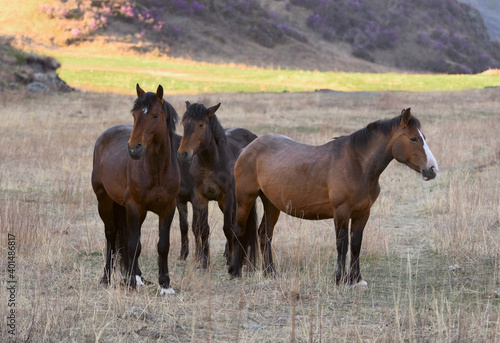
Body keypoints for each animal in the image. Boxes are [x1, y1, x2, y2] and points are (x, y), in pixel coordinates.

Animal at [91, 84, 180, 296]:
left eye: (155, 115)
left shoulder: (168, 209)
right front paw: (130, 281)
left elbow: (162, 245)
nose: (134, 149)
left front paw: (165, 285)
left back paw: (139, 277)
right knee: (111, 236)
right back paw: (107, 278)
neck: (157, 171)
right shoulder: (133, 207)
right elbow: (133, 245)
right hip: (104, 201)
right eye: (135, 114)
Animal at [178, 102, 258, 272]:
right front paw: (204, 263)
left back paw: (244, 260)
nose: (183, 154)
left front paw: (231, 261)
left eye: (201, 124)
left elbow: (228, 228)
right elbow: (203, 229)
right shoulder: (200, 198)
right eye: (184, 124)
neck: (211, 163)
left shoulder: (226, 198)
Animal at [229, 108, 438, 288]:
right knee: (238, 230)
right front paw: (340, 278)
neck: (357, 164)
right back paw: (234, 271)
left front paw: (356, 278)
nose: (432, 169)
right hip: (245, 198)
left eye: (424, 137)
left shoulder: (363, 213)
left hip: (272, 204)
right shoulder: (341, 212)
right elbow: (342, 244)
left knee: (265, 234)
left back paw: (270, 272)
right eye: (413, 138)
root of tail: (248, 148)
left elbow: (356, 244)